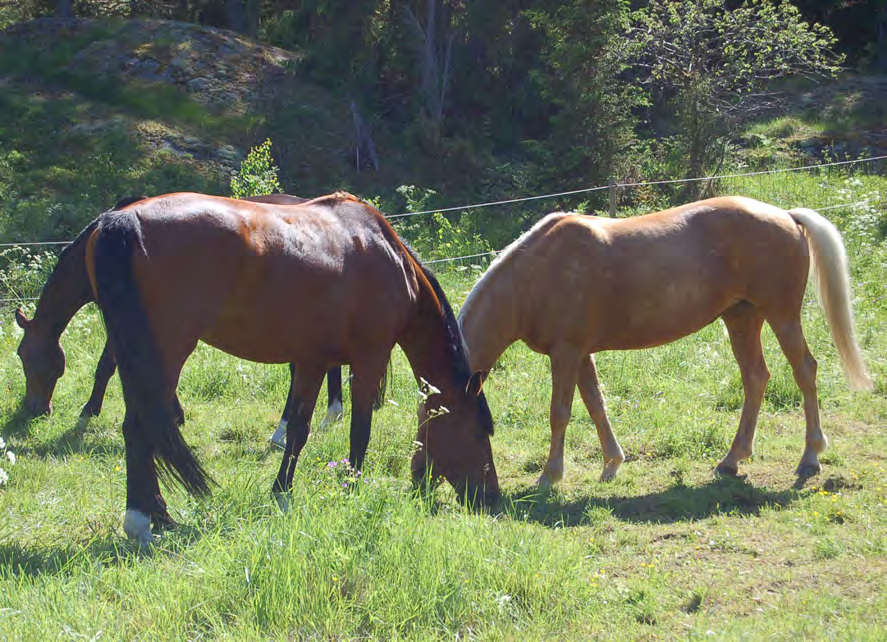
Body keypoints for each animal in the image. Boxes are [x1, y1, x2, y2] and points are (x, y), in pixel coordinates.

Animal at [85, 189, 500, 544]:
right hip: (165, 354)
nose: (491, 498)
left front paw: (282, 495)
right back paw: (142, 522)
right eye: (480, 431)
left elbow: (299, 430)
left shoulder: (312, 361)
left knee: (142, 428)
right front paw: (351, 491)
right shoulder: (369, 360)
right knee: (142, 428)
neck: (389, 258)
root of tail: (123, 221)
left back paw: (159, 515)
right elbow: (360, 431)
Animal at [462, 195, 872, 484]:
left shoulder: (566, 352)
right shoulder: (580, 354)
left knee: (804, 370)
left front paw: (550, 476)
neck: (534, 276)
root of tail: (787, 216)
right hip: (742, 318)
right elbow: (596, 404)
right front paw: (612, 463)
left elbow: (560, 412)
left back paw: (810, 457)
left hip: (782, 316)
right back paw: (732, 460)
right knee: (756, 378)